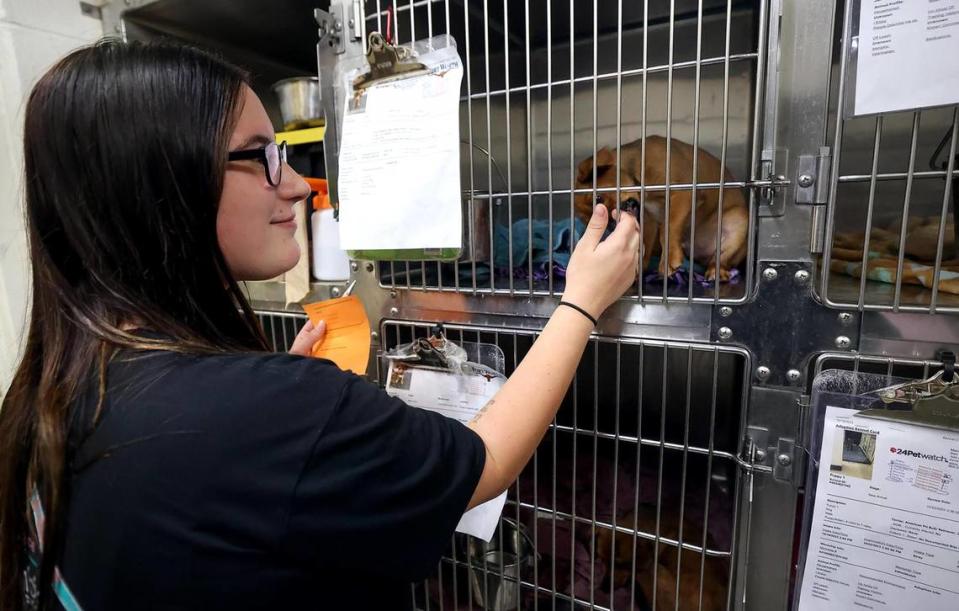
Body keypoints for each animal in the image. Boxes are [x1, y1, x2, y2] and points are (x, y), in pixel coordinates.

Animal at [568, 136, 752, 282]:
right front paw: (638, 269)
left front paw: (669, 258)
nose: (613, 224)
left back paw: (716, 270)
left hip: (738, 220)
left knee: (722, 258)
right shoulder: (649, 218)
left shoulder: (682, 193)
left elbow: (668, 228)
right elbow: (645, 245)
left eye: (597, 199)